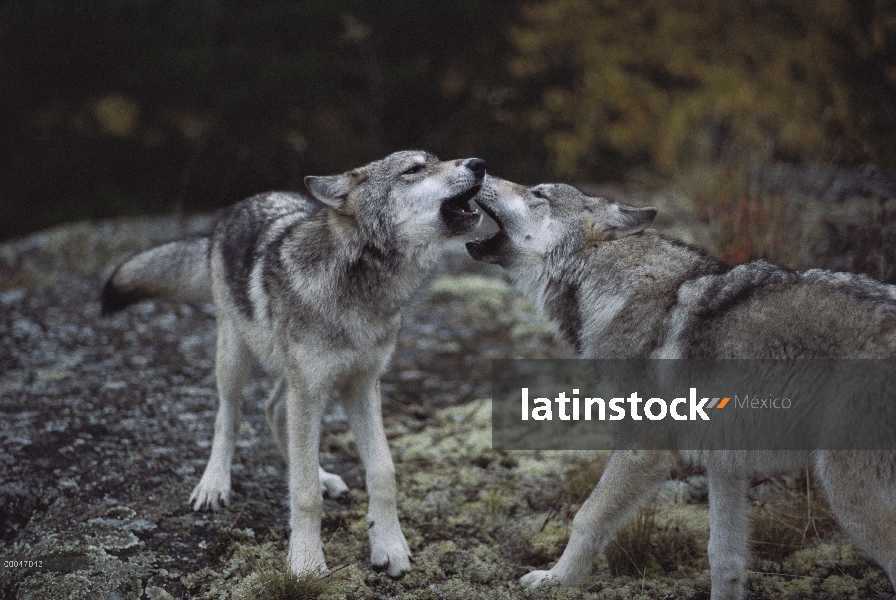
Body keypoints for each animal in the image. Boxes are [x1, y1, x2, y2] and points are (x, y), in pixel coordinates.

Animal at [101, 150, 486, 576]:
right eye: (414, 169)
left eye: (436, 159)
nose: (479, 163)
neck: (360, 286)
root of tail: (240, 205)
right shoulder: (313, 386)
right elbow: (303, 494)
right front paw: (306, 563)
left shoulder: (362, 385)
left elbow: (383, 471)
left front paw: (390, 546)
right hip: (237, 357)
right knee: (228, 417)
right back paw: (214, 484)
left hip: (296, 378)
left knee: (275, 410)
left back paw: (323, 476)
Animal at [466, 178, 892, 600]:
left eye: (538, 194)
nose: (480, 171)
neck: (611, 287)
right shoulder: (725, 462)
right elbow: (723, 557)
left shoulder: (643, 449)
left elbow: (586, 517)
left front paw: (556, 579)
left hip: (848, 492)